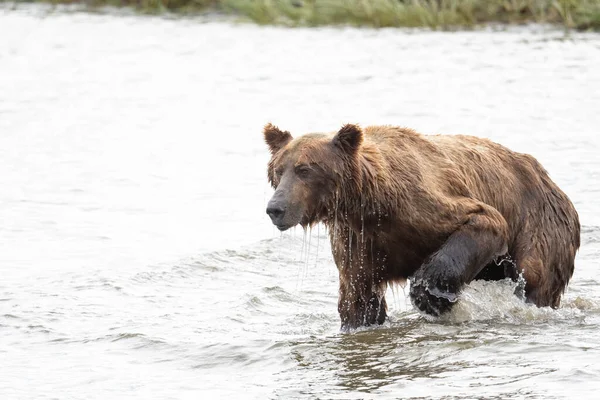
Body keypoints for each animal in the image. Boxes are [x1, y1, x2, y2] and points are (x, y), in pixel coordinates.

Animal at [262, 123, 580, 330]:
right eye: (278, 170)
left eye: (305, 169)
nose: (275, 209)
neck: (370, 201)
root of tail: (551, 181)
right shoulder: (358, 239)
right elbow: (358, 297)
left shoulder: (423, 205)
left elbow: (484, 220)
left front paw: (431, 295)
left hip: (540, 223)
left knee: (536, 276)